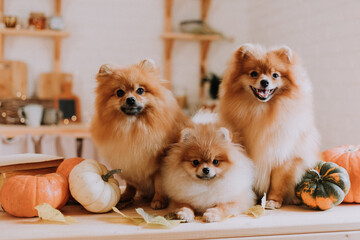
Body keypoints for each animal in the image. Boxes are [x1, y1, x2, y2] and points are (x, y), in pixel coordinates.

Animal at [90, 59, 191, 208]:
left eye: (140, 90)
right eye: (120, 92)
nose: (130, 99)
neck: (132, 127)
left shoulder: (159, 164)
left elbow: (159, 184)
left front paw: (158, 200)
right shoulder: (128, 162)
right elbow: (130, 184)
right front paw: (126, 195)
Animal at [219, 44, 320, 209]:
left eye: (275, 75)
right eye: (254, 73)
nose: (264, 82)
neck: (261, 111)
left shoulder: (283, 155)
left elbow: (278, 182)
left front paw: (273, 201)